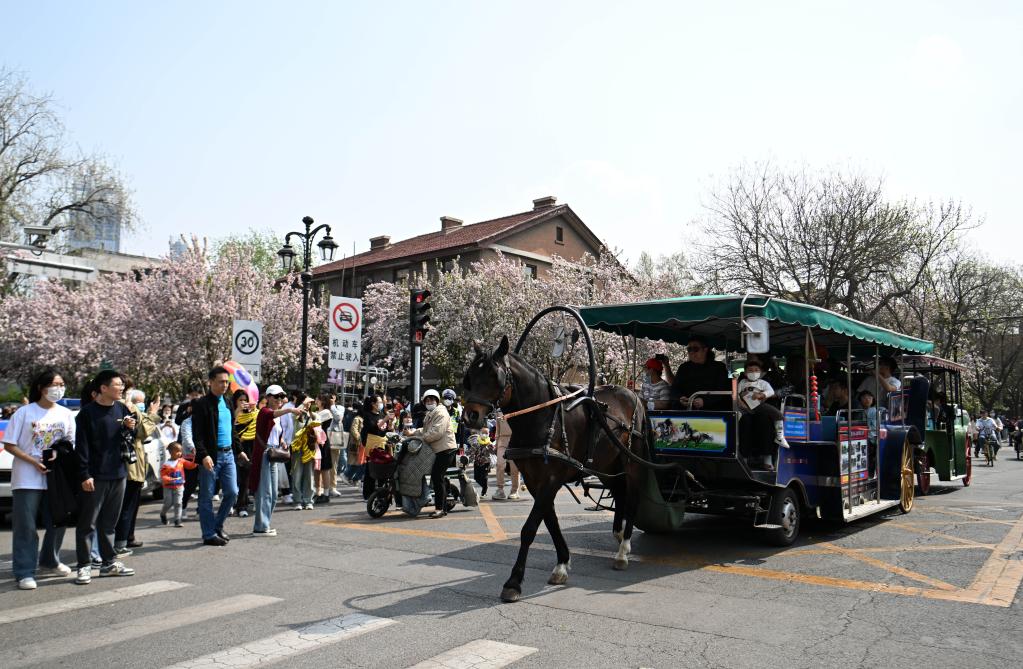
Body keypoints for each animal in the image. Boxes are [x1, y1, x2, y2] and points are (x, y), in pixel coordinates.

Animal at [460, 335, 650, 601]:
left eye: (494, 375)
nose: (470, 416)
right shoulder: (534, 480)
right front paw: (562, 564)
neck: (541, 417)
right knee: (620, 493)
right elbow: (550, 522)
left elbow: (530, 528)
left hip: (632, 463)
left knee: (631, 497)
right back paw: (619, 534)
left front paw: (514, 582)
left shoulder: (550, 479)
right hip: (607, 464)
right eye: (470, 376)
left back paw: (623, 550)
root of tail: (631, 393)